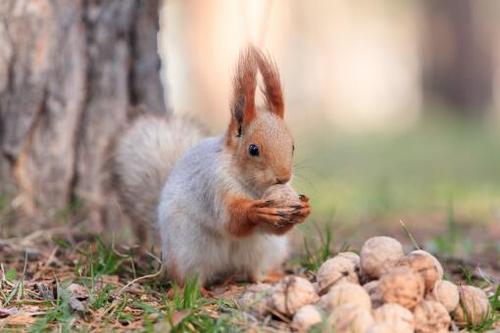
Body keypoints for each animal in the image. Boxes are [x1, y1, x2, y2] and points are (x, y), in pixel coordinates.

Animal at [111, 46, 310, 286]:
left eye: (292, 146)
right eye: (253, 149)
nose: (283, 177)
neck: (252, 187)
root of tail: (227, 268)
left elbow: (273, 228)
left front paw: (304, 209)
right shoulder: (213, 186)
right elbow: (231, 220)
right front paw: (255, 210)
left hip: (266, 249)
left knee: (254, 271)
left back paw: (269, 277)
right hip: (188, 249)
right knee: (189, 278)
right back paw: (194, 289)